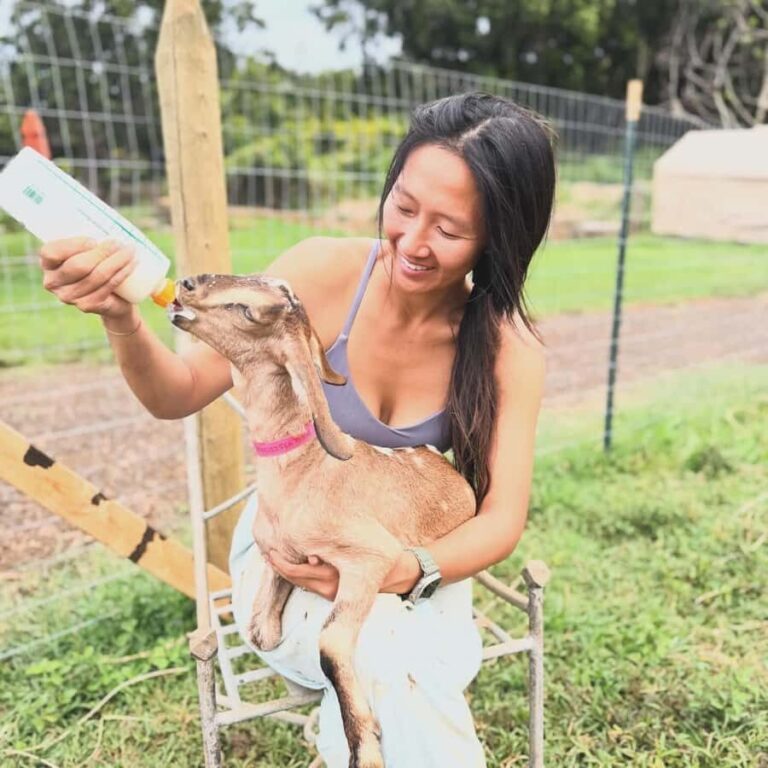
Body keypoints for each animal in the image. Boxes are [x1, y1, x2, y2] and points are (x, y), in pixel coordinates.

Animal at [169, 273, 476, 768]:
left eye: (248, 310)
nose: (186, 284)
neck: (304, 469)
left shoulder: (370, 558)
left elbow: (329, 644)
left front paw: (364, 747)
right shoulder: (281, 556)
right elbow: (261, 630)